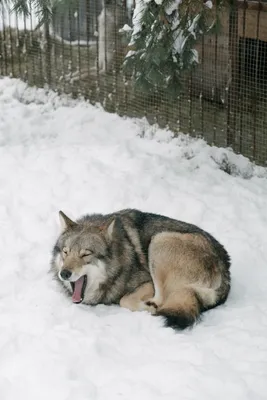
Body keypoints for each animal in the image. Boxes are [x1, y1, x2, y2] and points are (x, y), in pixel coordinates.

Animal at [50, 208, 232, 330]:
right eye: (65, 252)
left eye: (85, 254)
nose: (64, 273)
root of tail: (225, 269)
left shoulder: (147, 282)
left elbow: (124, 300)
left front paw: (146, 305)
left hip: (159, 241)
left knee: (162, 299)